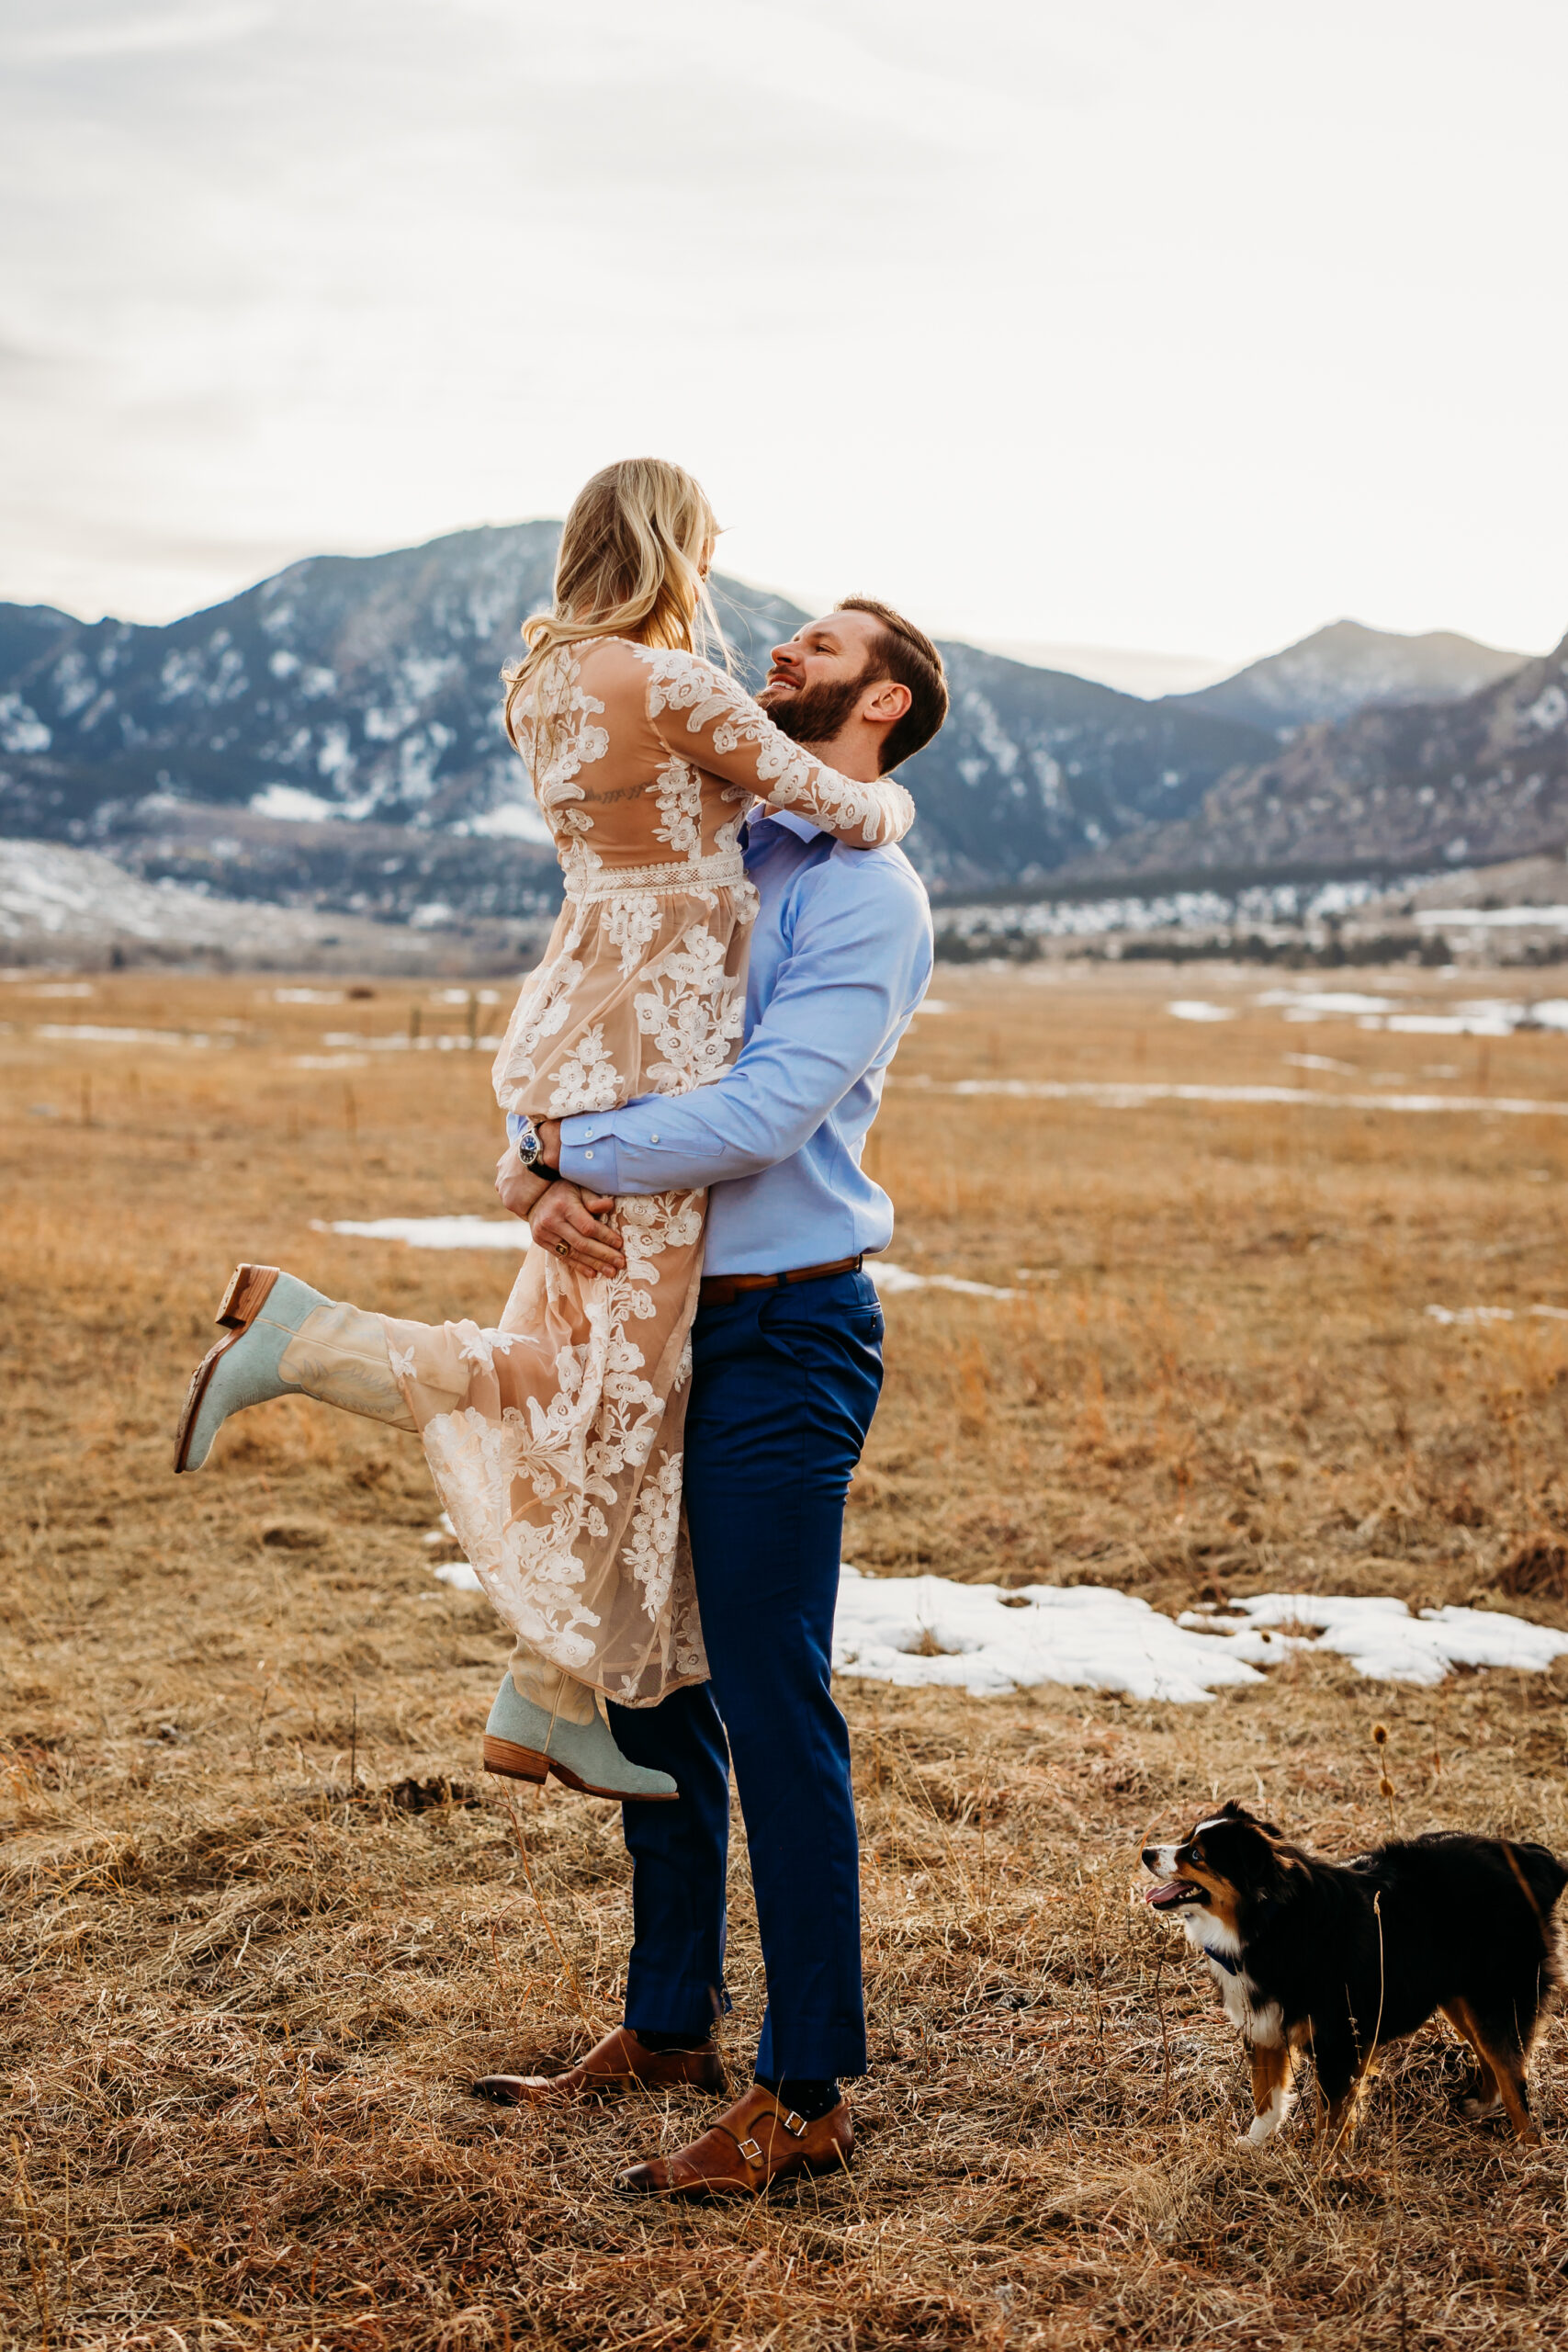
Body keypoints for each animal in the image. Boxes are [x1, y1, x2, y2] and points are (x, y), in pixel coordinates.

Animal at [1142, 1796, 1568, 2154]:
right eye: (1184, 1840)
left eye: (1196, 1854)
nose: (1145, 1852)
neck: (1268, 1925)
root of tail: (1531, 1858)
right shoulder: (1262, 2026)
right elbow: (1266, 2097)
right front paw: (1254, 2144)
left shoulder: (1339, 2041)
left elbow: (1330, 2117)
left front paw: (1321, 2166)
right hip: (1459, 1997)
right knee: (1493, 2058)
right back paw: (1482, 2105)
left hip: (1494, 1997)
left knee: (1513, 2074)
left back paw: (1529, 2150)